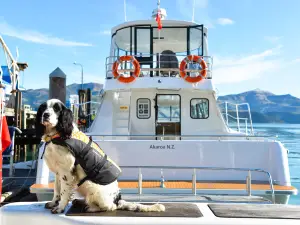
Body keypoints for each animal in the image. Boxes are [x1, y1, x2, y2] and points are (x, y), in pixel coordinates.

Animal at [36, 99, 165, 214]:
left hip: (92, 186)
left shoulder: (66, 171)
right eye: (43, 108)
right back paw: (80, 202)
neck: (55, 136)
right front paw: (53, 203)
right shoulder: (58, 171)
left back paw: (90, 208)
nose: (46, 115)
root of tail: (118, 199)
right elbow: (56, 190)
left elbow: (63, 192)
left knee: (109, 207)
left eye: (57, 109)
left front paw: (59, 208)